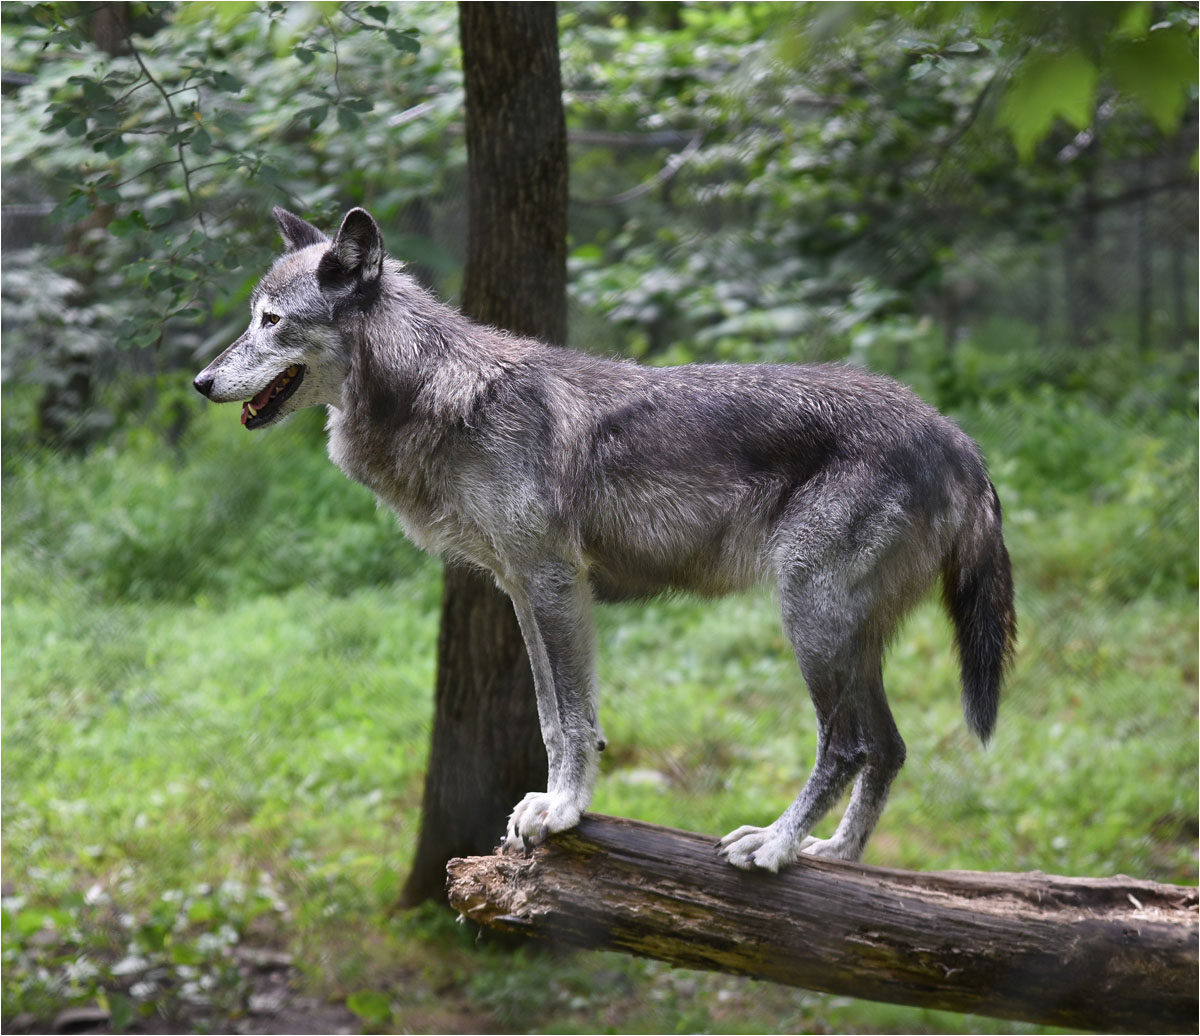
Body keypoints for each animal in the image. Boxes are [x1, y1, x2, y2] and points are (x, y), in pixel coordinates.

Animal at [194, 207, 1016, 871]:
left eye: (271, 321)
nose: (201, 382)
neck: (443, 394)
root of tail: (957, 439)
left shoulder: (556, 582)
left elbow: (573, 720)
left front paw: (562, 812)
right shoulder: (523, 589)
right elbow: (554, 718)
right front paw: (555, 805)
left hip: (810, 620)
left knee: (846, 745)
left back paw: (777, 846)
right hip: (850, 637)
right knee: (890, 746)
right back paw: (836, 854)